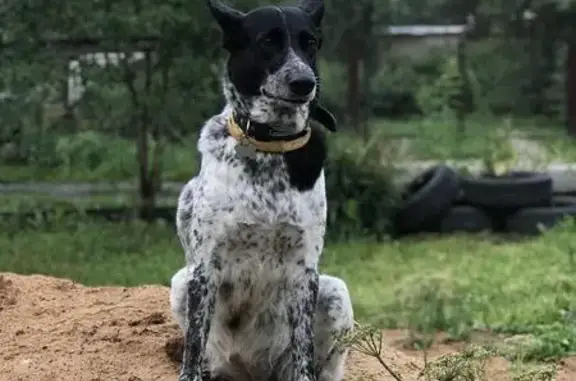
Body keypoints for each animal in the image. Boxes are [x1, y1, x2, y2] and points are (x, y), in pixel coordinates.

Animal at [169, 0, 354, 380]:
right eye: (267, 41)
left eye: (310, 43)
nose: (304, 83)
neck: (269, 144)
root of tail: (250, 372)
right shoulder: (205, 267)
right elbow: (193, 343)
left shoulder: (304, 269)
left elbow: (303, 347)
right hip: (182, 284)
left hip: (335, 291)